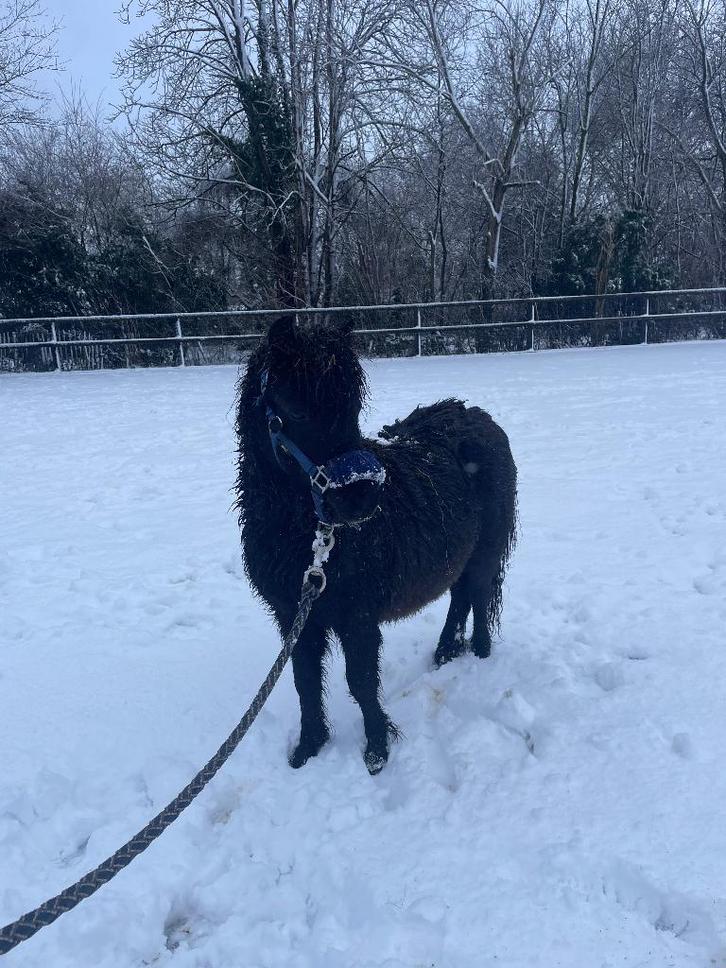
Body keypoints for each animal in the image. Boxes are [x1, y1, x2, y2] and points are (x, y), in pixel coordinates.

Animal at [236, 315, 517, 774]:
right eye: (295, 409)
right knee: (461, 597)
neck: (310, 543)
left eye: (353, 409)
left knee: (476, 595)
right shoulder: (292, 615)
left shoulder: (359, 617)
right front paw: (307, 749)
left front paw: (377, 751)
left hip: (484, 553)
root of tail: (477, 416)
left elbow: (361, 682)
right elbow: (304, 680)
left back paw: (478, 652)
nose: (363, 497)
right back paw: (444, 653)